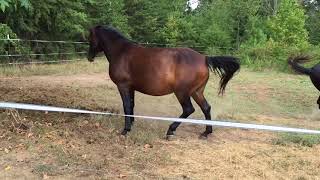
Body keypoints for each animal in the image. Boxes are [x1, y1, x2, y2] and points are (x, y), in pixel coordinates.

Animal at [87, 25, 240, 139]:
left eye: (90, 37)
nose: (89, 57)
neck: (122, 52)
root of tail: (204, 58)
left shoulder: (123, 86)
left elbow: (126, 106)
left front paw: (125, 130)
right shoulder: (131, 88)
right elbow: (131, 105)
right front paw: (132, 123)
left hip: (182, 92)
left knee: (188, 109)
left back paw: (170, 130)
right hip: (196, 92)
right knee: (206, 108)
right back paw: (206, 132)